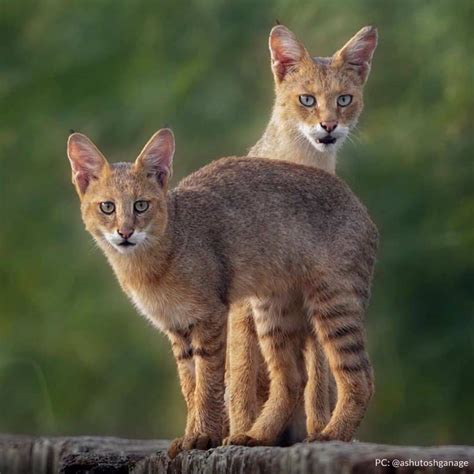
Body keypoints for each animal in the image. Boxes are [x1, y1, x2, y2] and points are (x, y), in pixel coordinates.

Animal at [67, 127, 378, 456]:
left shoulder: (210, 318)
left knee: (361, 377)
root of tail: (357, 202)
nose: (125, 233)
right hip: (273, 313)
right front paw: (192, 435)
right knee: (293, 379)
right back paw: (257, 435)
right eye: (107, 207)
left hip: (333, 304)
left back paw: (331, 434)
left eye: (141, 205)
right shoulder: (179, 329)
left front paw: (203, 436)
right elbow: (190, 387)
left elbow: (208, 384)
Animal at [226, 22, 378, 444]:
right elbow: (241, 374)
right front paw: (241, 430)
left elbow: (318, 377)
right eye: (306, 100)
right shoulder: (245, 305)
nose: (329, 127)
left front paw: (319, 425)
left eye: (344, 99)